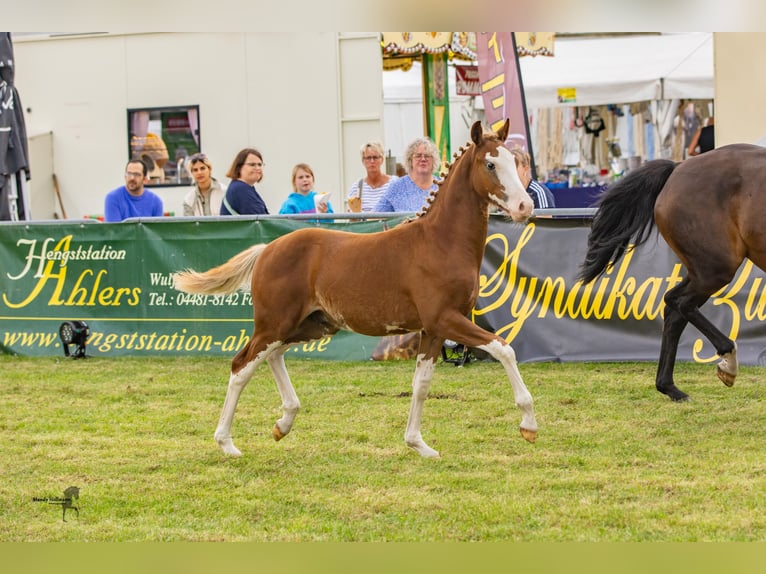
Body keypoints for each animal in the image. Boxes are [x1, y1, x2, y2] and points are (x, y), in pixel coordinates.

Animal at [176, 120, 540, 460]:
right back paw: (227, 443)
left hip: (310, 326)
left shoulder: (433, 330)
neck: (440, 242)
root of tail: (267, 249)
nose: (525, 206)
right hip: (274, 324)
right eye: (490, 164)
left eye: (513, 160)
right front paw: (529, 425)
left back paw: (283, 423)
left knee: (273, 356)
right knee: (241, 366)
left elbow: (421, 384)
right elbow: (504, 349)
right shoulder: (445, 320)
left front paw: (418, 445)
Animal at [584, 144, 766, 402]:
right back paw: (727, 361)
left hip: (701, 269)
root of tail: (677, 168)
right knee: (679, 303)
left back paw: (670, 387)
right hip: (715, 268)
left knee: (674, 310)